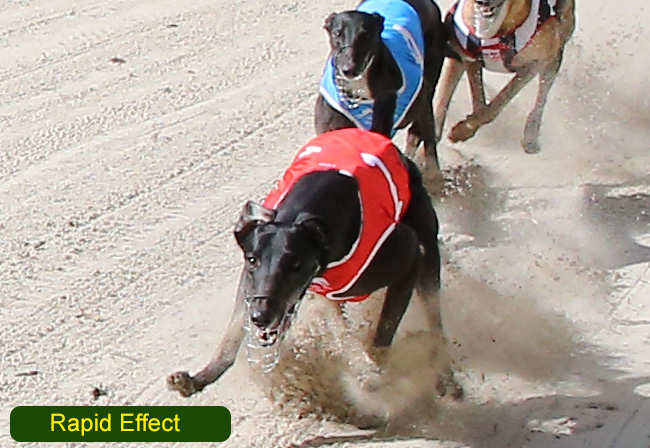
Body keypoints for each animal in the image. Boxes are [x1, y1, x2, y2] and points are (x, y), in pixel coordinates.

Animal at [167, 129, 460, 398]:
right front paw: (197, 378)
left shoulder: (407, 263)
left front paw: (370, 372)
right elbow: (233, 332)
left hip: (425, 246)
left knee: (434, 317)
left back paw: (446, 377)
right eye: (252, 260)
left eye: (296, 264)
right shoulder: (263, 286)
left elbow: (383, 333)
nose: (261, 317)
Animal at [434, 0, 575, 153]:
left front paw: (462, 130)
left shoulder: (535, 63)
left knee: (542, 97)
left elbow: (496, 104)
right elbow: (446, 102)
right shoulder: (461, 54)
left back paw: (531, 135)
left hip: (554, 56)